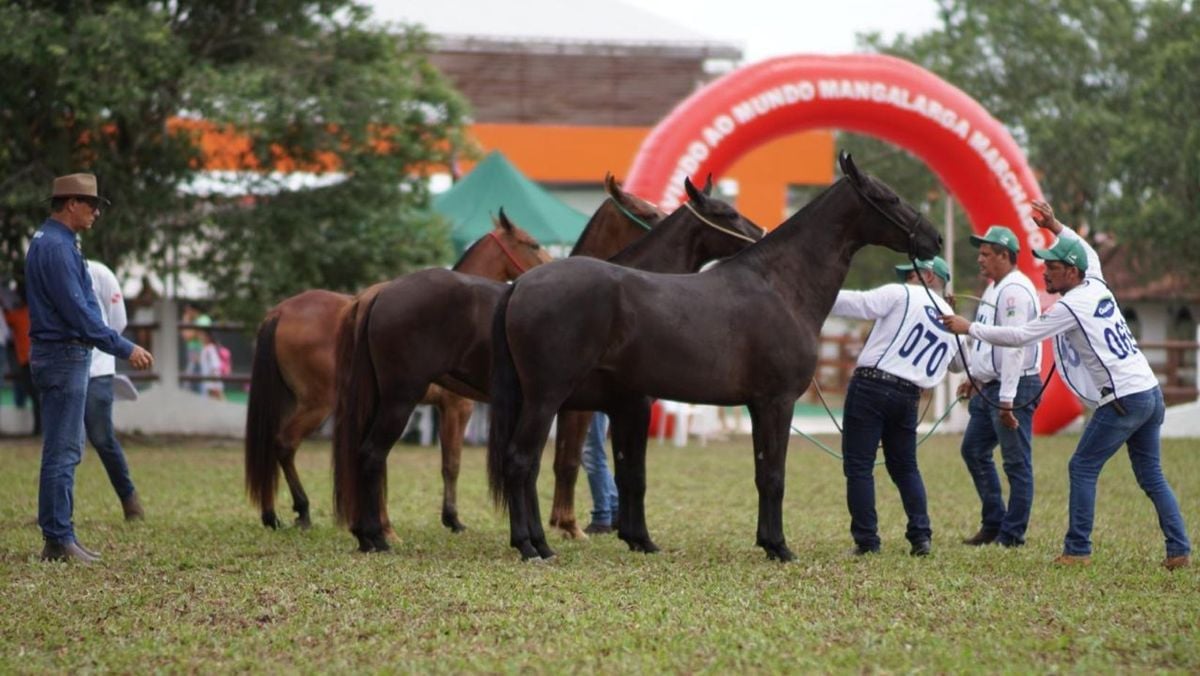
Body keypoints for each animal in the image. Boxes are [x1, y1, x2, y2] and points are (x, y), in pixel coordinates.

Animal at [244, 210, 552, 528]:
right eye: (532, 243)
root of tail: (280, 311)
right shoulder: (457, 407)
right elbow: (452, 464)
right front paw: (453, 518)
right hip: (317, 404)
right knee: (285, 443)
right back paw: (303, 509)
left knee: (269, 446)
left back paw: (271, 514)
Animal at [333, 177, 758, 552]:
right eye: (728, 213)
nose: (760, 232)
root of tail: (381, 293)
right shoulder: (599, 409)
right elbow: (578, 466)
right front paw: (574, 528)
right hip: (402, 398)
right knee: (373, 454)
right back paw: (378, 536)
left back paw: (370, 533)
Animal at [482, 153, 940, 561]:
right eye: (889, 198)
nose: (933, 239)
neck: (779, 286)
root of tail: (520, 286)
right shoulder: (776, 402)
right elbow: (774, 476)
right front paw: (779, 547)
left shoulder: (744, 406)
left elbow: (753, 472)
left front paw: (762, 542)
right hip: (545, 397)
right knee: (520, 461)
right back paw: (532, 547)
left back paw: (534, 541)